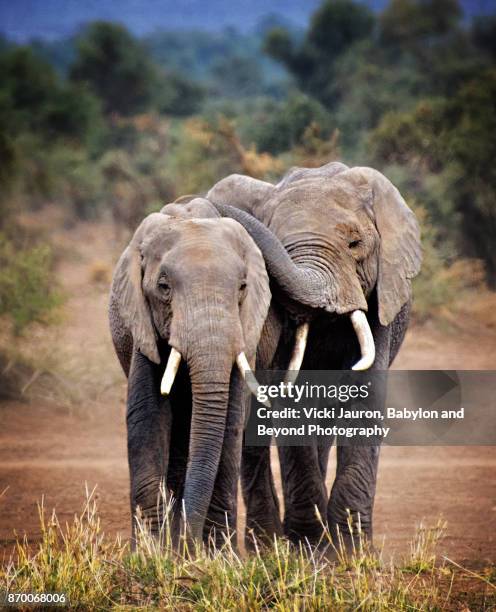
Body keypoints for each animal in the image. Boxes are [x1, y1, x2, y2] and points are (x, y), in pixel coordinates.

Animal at [108, 200, 272, 544]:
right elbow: (148, 416)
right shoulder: (143, 325)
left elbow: (230, 423)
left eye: (242, 287)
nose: (188, 543)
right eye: (163, 287)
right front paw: (151, 551)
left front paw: (216, 553)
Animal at [206, 160, 422, 548]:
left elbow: (365, 402)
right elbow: (292, 404)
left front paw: (349, 550)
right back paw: (266, 545)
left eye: (355, 244)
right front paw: (308, 546)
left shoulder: (380, 300)